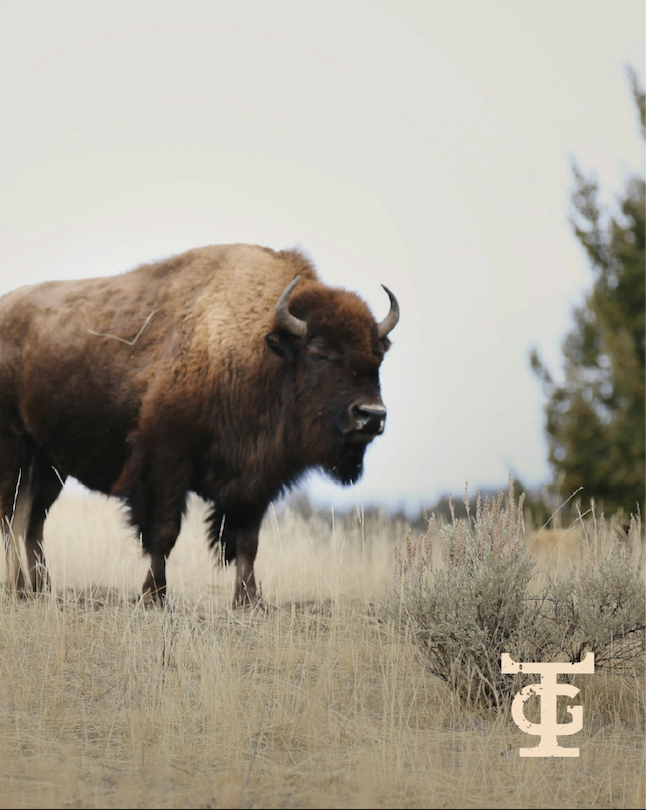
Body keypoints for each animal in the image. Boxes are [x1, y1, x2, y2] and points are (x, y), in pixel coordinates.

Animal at [0, 243, 399, 605]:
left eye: (378, 357)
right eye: (319, 352)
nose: (372, 415)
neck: (257, 349)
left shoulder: (258, 478)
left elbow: (247, 541)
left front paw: (249, 601)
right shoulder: (166, 460)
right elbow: (164, 533)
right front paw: (154, 596)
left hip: (50, 464)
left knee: (33, 521)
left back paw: (39, 590)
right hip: (16, 451)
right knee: (11, 517)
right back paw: (17, 590)